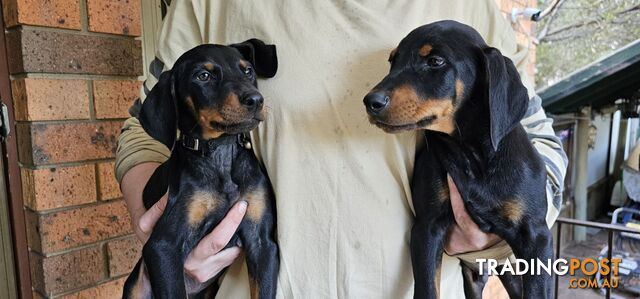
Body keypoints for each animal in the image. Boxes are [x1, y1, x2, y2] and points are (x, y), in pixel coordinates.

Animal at [122, 39, 278, 299]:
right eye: (203, 76)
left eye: (248, 71)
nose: (256, 100)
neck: (221, 152)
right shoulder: (163, 247)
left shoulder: (263, 243)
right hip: (137, 285)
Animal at [362, 19, 552, 298]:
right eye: (392, 62)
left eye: (435, 61)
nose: (370, 101)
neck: (470, 155)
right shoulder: (426, 228)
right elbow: (427, 288)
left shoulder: (536, 235)